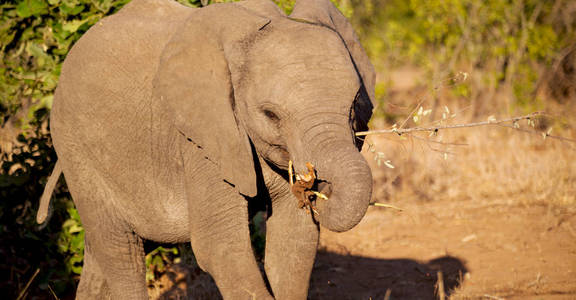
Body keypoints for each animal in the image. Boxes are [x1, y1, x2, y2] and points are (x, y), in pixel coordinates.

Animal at [38, 0, 376, 298]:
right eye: (271, 115)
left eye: (354, 105)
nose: (312, 187)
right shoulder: (201, 137)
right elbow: (221, 246)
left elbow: (294, 241)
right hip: (76, 150)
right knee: (121, 252)